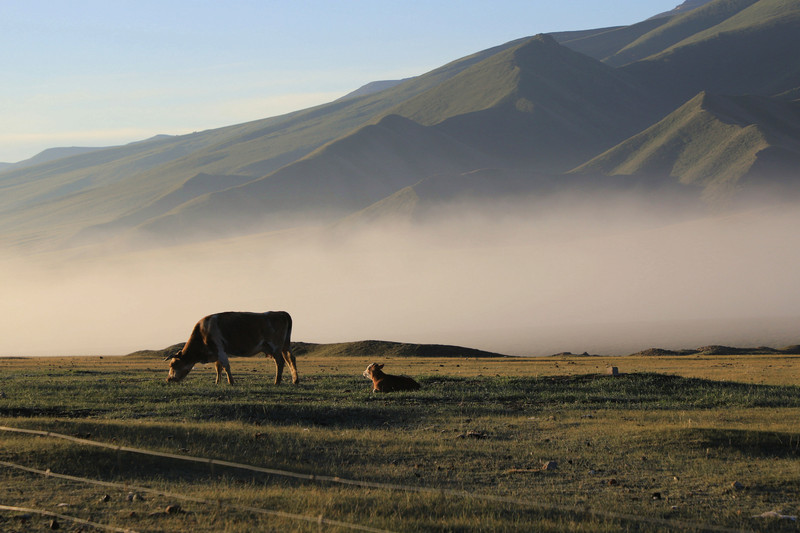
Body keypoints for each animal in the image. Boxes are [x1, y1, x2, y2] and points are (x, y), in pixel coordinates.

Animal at [166, 311, 297, 385]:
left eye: (173, 364)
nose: (168, 379)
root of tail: (281, 313)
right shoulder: (217, 352)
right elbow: (218, 368)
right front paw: (217, 382)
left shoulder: (219, 350)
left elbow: (226, 366)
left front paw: (231, 382)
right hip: (285, 346)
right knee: (291, 359)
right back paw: (295, 380)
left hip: (275, 347)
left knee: (280, 362)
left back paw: (277, 382)